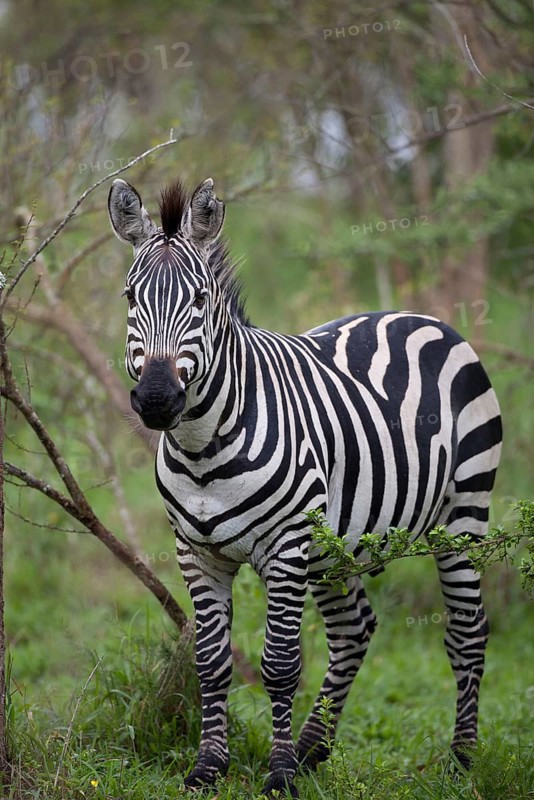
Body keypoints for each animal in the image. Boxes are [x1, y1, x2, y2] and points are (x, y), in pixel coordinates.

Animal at [108, 176, 502, 798]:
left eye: (200, 300)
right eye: (129, 298)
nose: (155, 400)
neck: (202, 447)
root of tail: (419, 317)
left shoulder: (286, 548)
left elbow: (279, 665)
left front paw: (279, 775)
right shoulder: (196, 553)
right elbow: (211, 661)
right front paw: (209, 768)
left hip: (462, 515)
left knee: (467, 632)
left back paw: (461, 759)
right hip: (335, 547)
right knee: (354, 630)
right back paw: (315, 747)